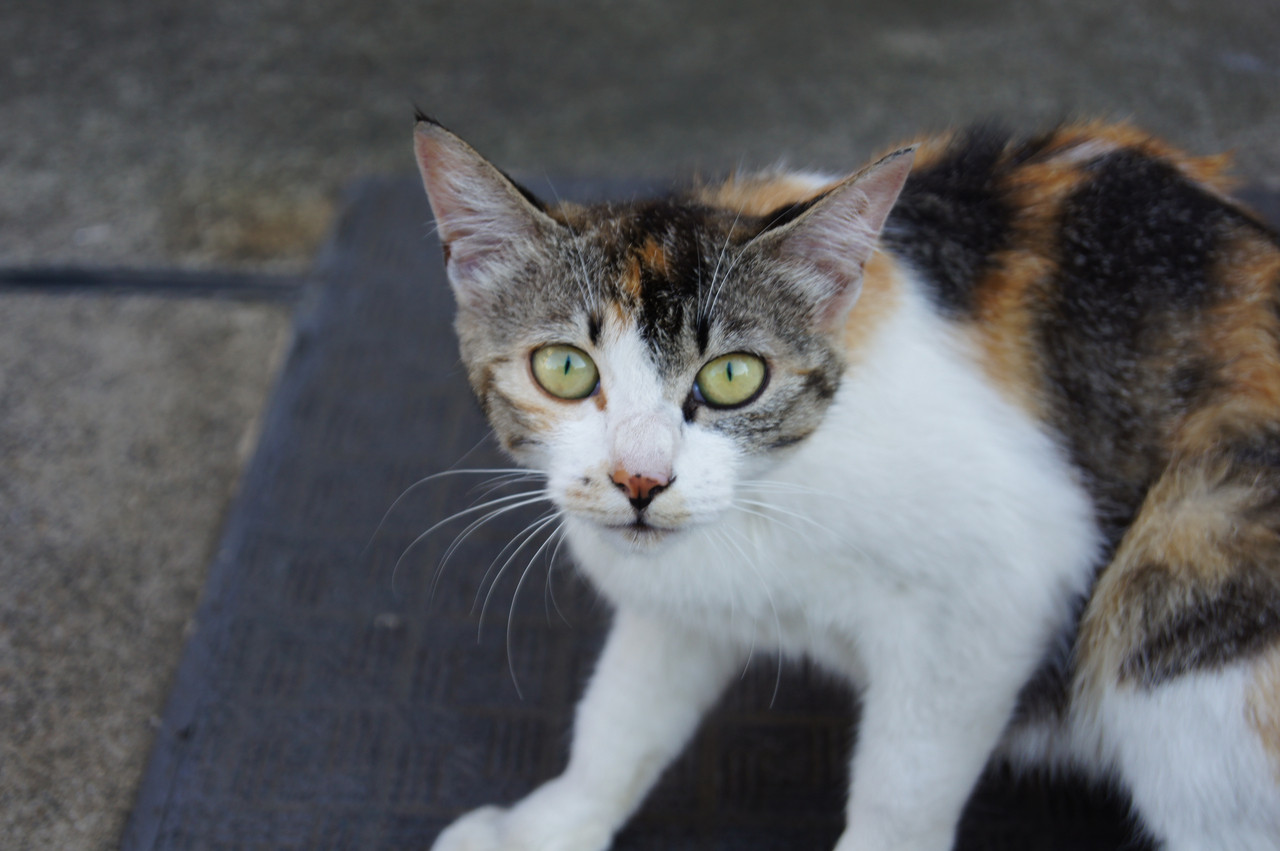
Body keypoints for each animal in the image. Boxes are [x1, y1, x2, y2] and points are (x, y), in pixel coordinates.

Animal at [412, 113, 1280, 851]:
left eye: (734, 376)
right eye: (564, 368)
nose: (641, 478)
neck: (769, 501)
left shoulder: (999, 589)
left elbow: (904, 787)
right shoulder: (682, 596)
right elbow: (623, 713)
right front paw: (545, 825)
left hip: (1186, 555)